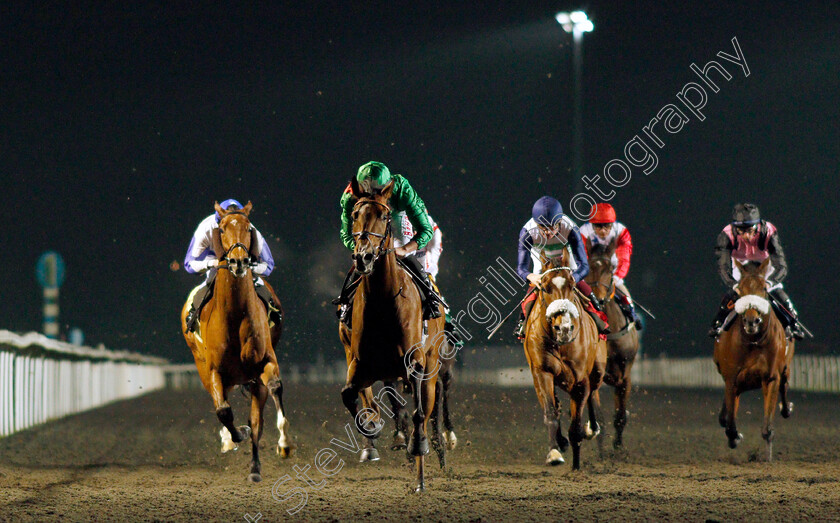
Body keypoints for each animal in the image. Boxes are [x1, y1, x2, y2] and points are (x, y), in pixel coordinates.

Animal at [180, 201, 292, 484]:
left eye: (248, 227)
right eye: (221, 229)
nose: (239, 261)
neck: (235, 315)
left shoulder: (266, 361)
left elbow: (274, 389)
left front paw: (284, 444)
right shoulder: (213, 370)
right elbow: (224, 412)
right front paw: (233, 436)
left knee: (256, 417)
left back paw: (255, 467)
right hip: (203, 368)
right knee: (222, 405)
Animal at [340, 179, 450, 492]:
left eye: (384, 215)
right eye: (355, 215)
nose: (364, 256)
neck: (382, 299)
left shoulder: (415, 364)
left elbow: (419, 414)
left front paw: (419, 449)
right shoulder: (359, 363)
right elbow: (351, 396)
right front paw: (372, 430)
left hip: (431, 367)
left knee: (428, 409)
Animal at [524, 250, 604, 470]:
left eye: (572, 285)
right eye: (545, 287)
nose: (565, 328)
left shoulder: (580, 380)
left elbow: (576, 427)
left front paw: (576, 467)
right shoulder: (542, 372)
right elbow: (551, 413)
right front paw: (554, 452)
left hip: (598, 370)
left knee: (594, 392)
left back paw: (592, 428)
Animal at [712, 258, 792, 462]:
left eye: (764, 288)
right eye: (740, 289)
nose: (751, 321)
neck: (754, 340)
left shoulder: (770, 377)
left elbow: (767, 426)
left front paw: (768, 456)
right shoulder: (732, 379)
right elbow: (730, 423)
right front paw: (735, 437)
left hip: (785, 367)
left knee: (785, 382)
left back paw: (787, 407)